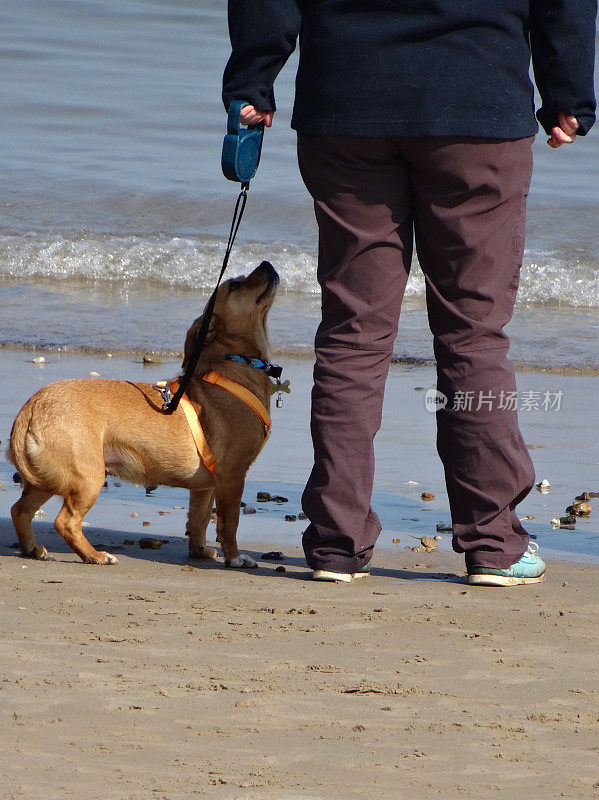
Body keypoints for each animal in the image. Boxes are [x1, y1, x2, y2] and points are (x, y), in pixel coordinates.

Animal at [8, 262, 282, 568]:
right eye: (234, 285)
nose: (267, 264)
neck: (235, 363)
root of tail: (32, 407)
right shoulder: (233, 476)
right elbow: (229, 523)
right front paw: (234, 557)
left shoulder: (205, 487)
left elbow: (199, 520)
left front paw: (199, 551)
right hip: (88, 477)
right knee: (65, 522)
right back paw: (95, 555)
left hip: (46, 480)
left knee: (20, 510)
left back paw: (32, 548)